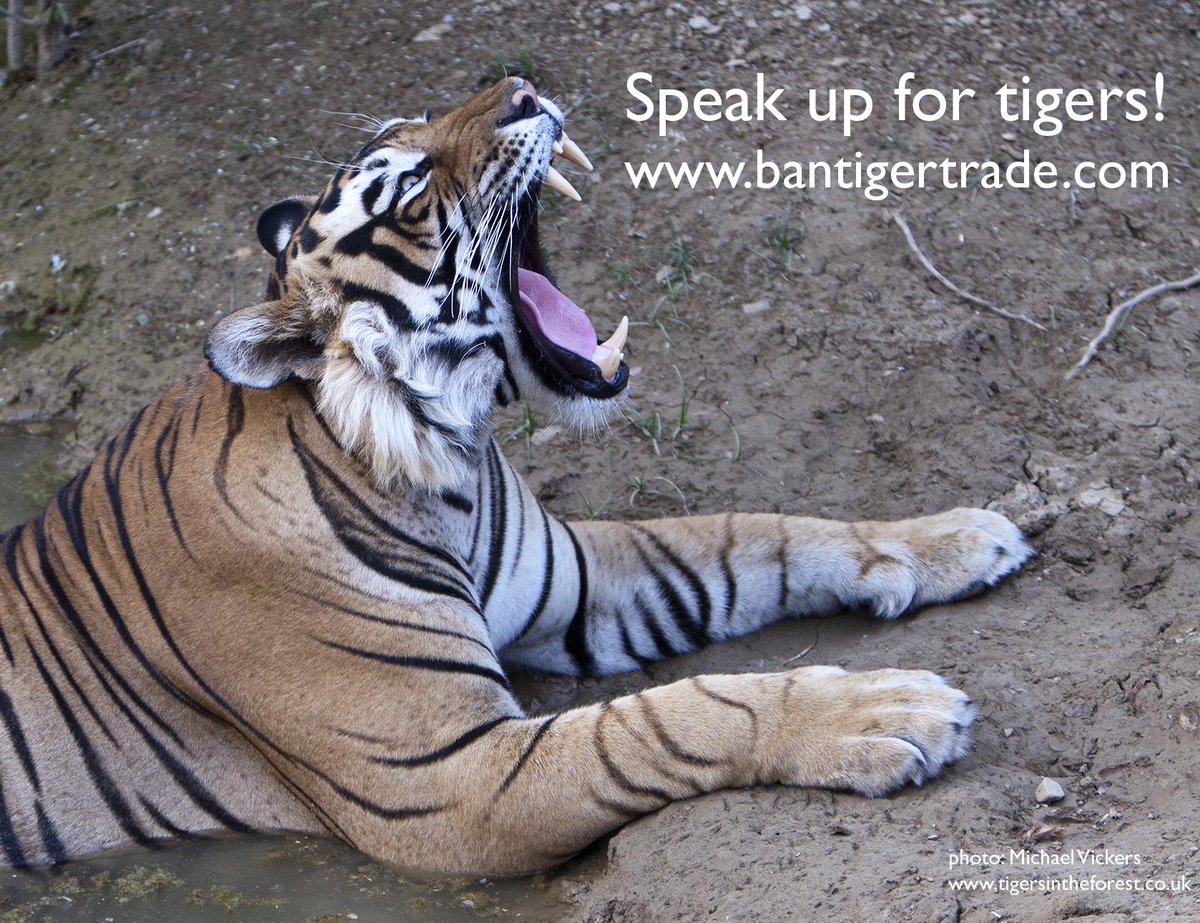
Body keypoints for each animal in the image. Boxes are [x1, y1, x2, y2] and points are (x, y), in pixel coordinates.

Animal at [0, 77, 1032, 876]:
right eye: (411, 186)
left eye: (415, 119)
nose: (525, 91)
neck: (445, 464)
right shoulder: (453, 781)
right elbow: (671, 717)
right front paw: (889, 707)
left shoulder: (585, 582)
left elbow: (761, 532)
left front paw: (957, 535)